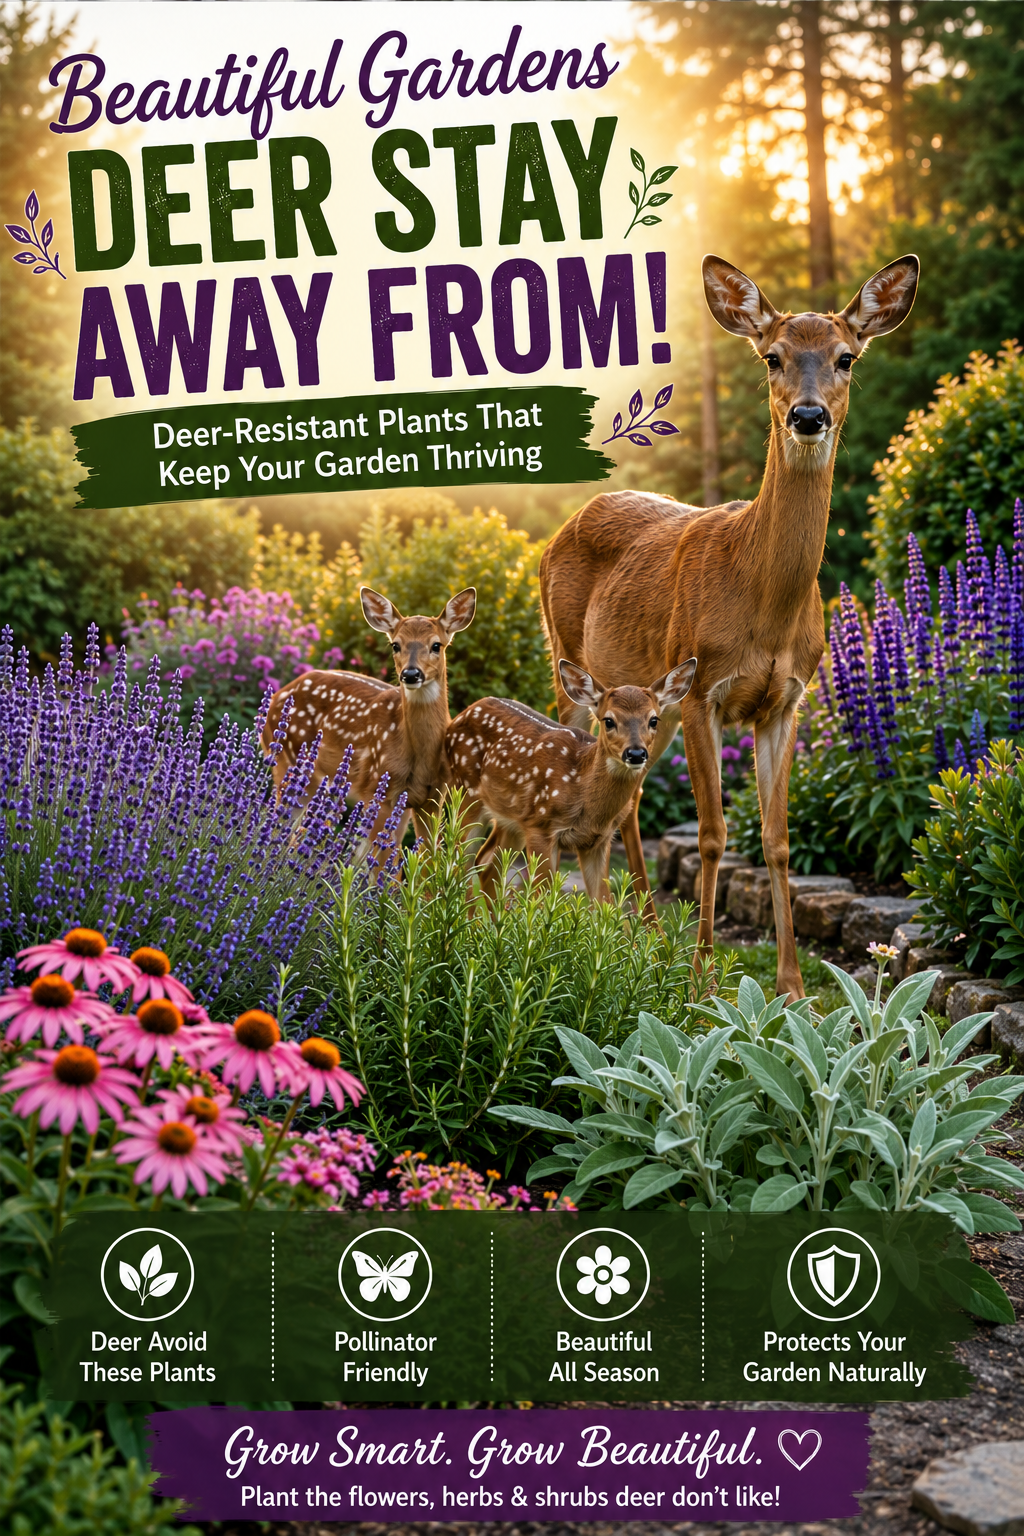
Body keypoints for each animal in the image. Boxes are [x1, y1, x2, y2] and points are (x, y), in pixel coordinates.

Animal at [262, 585, 476, 842]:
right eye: (395, 645)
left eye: (436, 645)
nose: (411, 674)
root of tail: (277, 696)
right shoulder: (379, 786)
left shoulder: (431, 798)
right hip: (288, 761)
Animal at [445, 657, 696, 900]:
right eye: (608, 720)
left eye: (654, 720)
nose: (635, 753)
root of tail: (458, 716)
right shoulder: (540, 827)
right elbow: (541, 899)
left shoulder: (599, 841)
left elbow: (603, 903)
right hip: (466, 793)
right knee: (458, 862)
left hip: (511, 819)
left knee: (486, 866)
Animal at [539, 253, 919, 1000]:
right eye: (772, 356)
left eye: (847, 357)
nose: (808, 415)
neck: (763, 603)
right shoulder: (701, 692)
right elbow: (714, 834)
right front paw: (703, 982)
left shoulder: (785, 701)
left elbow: (776, 840)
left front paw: (791, 987)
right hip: (571, 664)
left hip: (640, 705)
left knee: (629, 798)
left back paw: (642, 932)